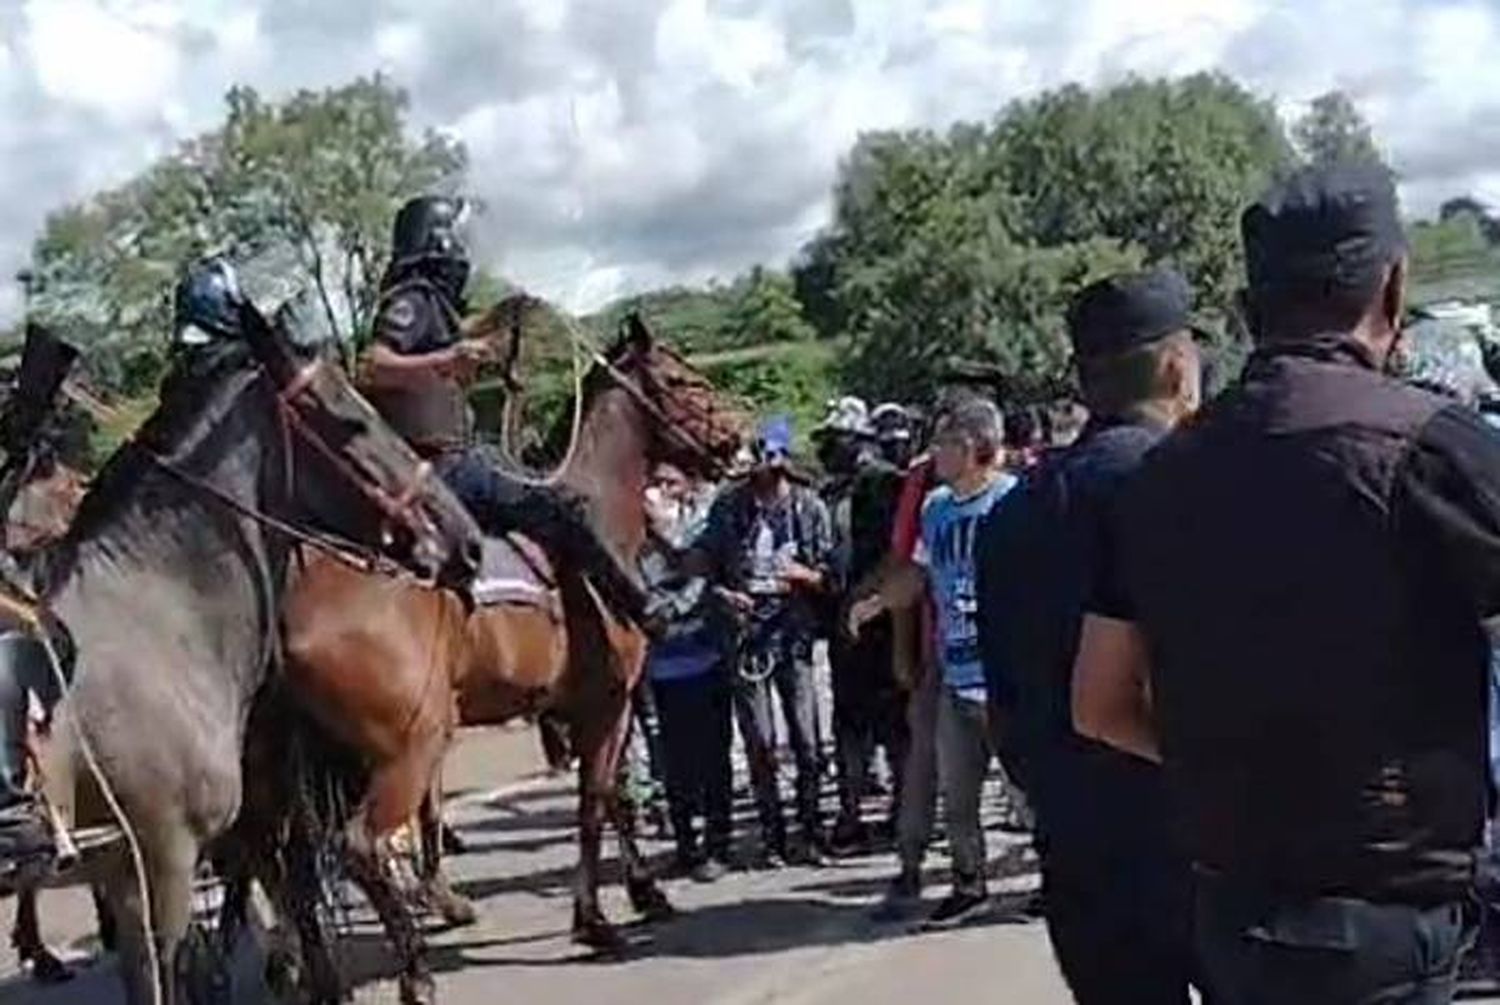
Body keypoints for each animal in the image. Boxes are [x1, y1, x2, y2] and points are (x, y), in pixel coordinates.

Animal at [234, 313, 744, 1002]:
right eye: (679, 379)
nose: (739, 439)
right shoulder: (606, 707)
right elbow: (597, 801)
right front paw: (598, 917)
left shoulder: (583, 710)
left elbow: (612, 798)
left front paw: (641, 892)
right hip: (405, 749)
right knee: (359, 846)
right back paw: (414, 971)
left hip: (287, 769)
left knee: (284, 862)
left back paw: (318, 975)